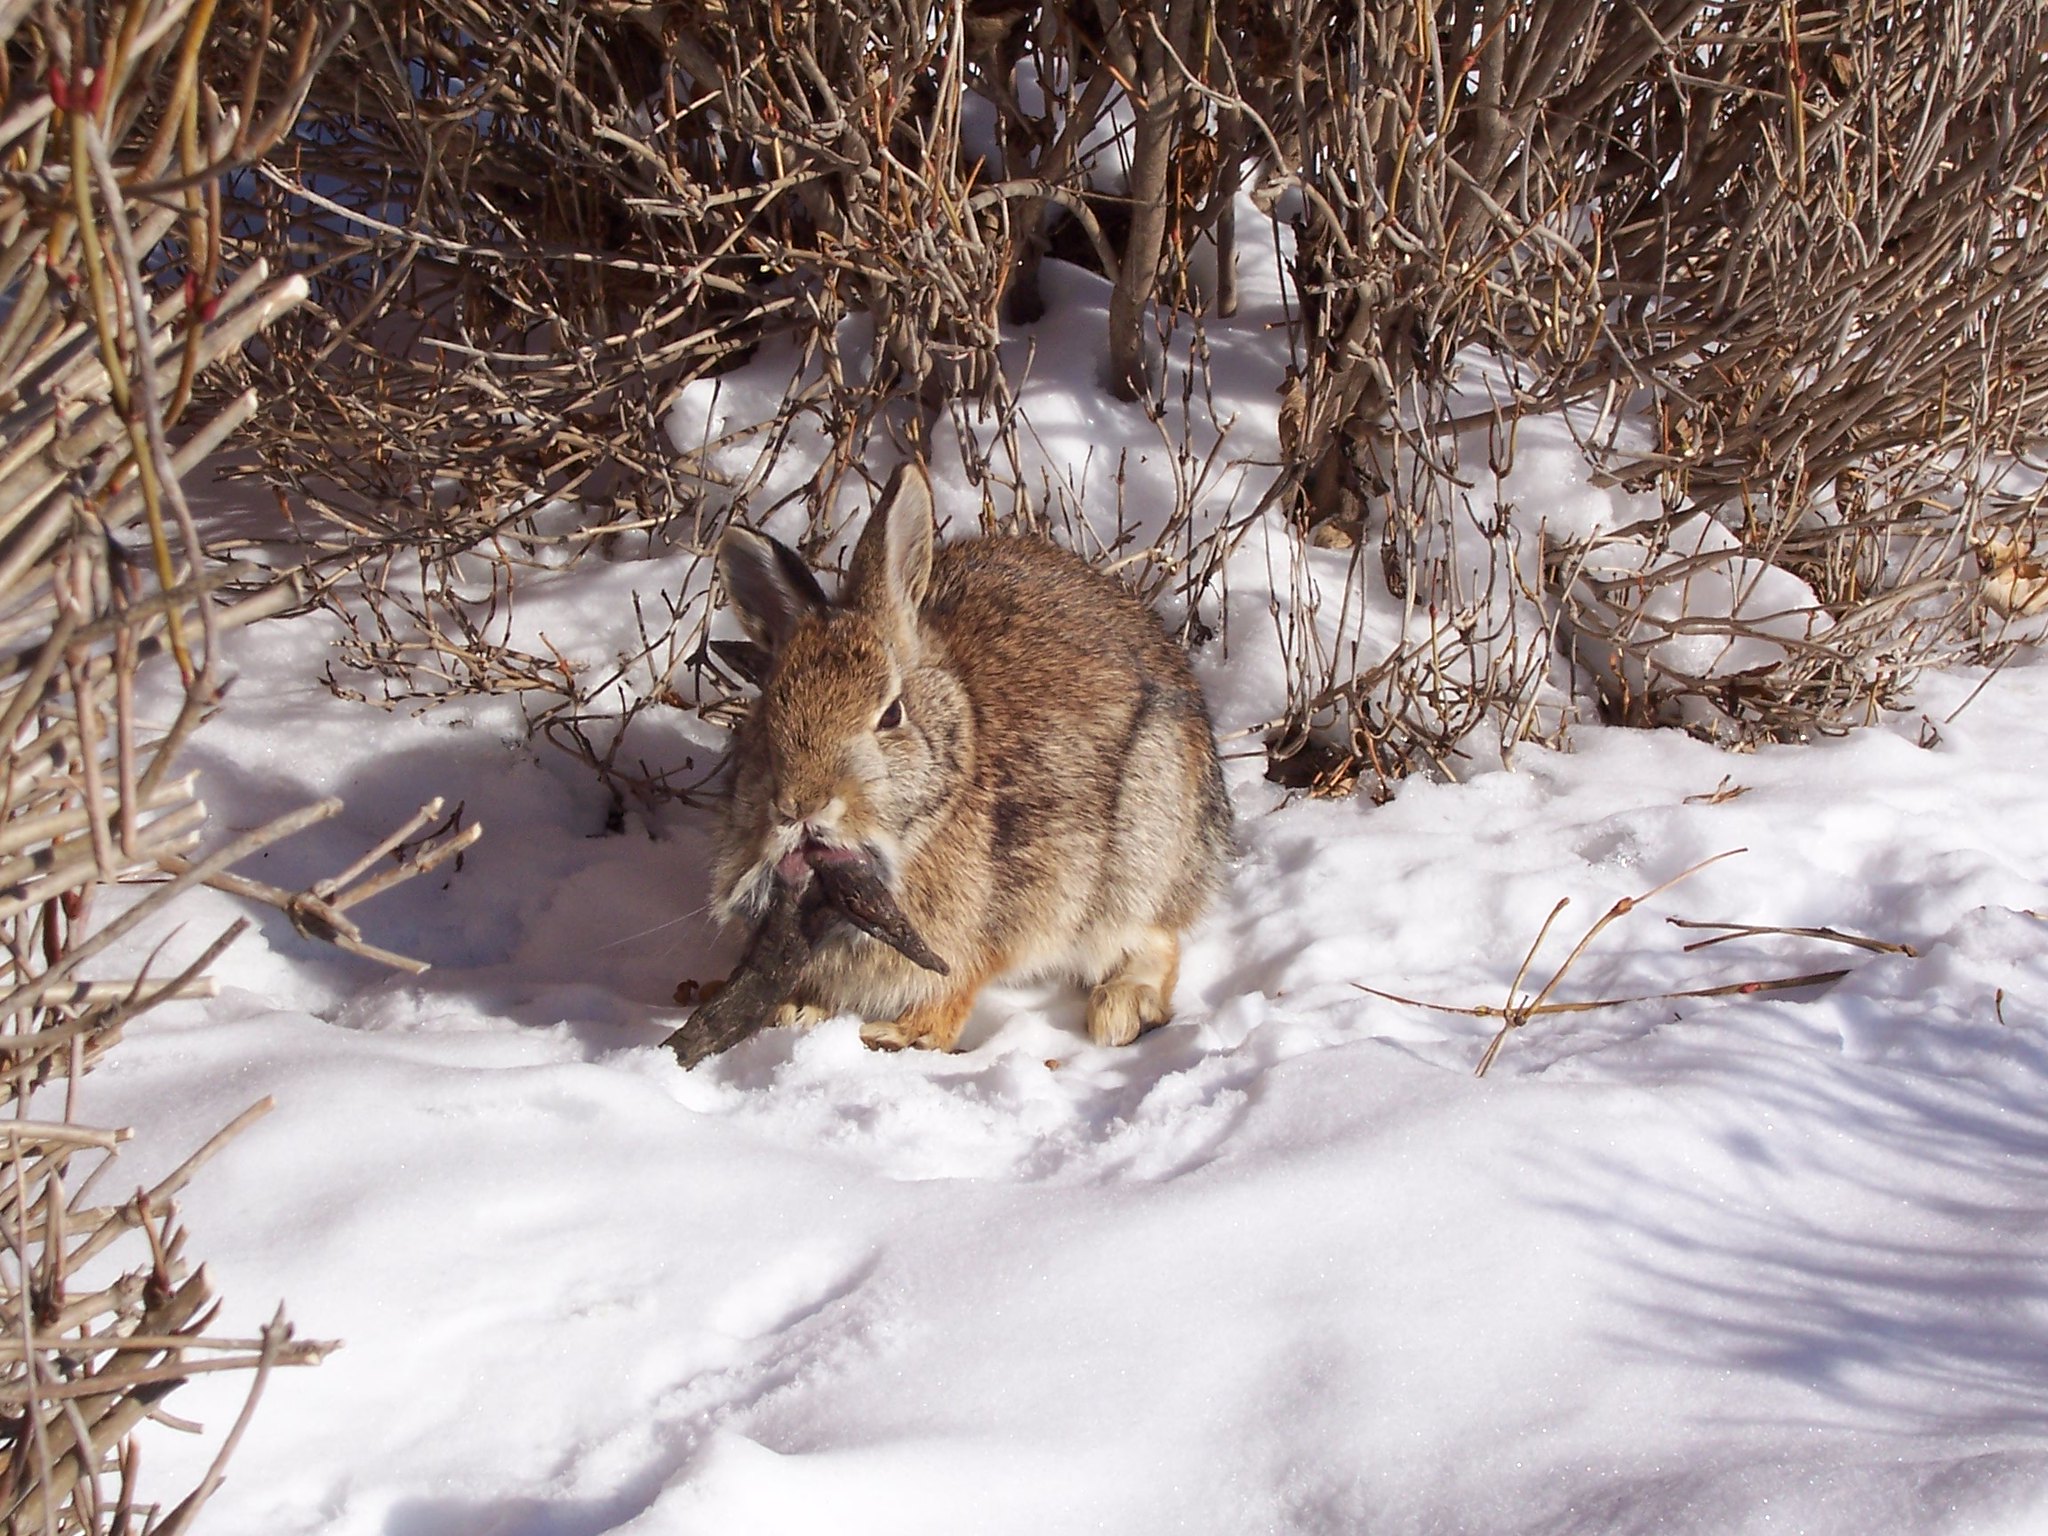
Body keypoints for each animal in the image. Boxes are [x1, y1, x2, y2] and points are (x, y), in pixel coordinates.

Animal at [710, 462, 1231, 1052]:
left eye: (891, 715)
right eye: (766, 714)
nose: (801, 806)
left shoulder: (983, 933)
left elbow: (954, 989)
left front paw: (901, 1036)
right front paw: (797, 1010)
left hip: (1143, 845)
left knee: (1155, 937)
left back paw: (1122, 1009)